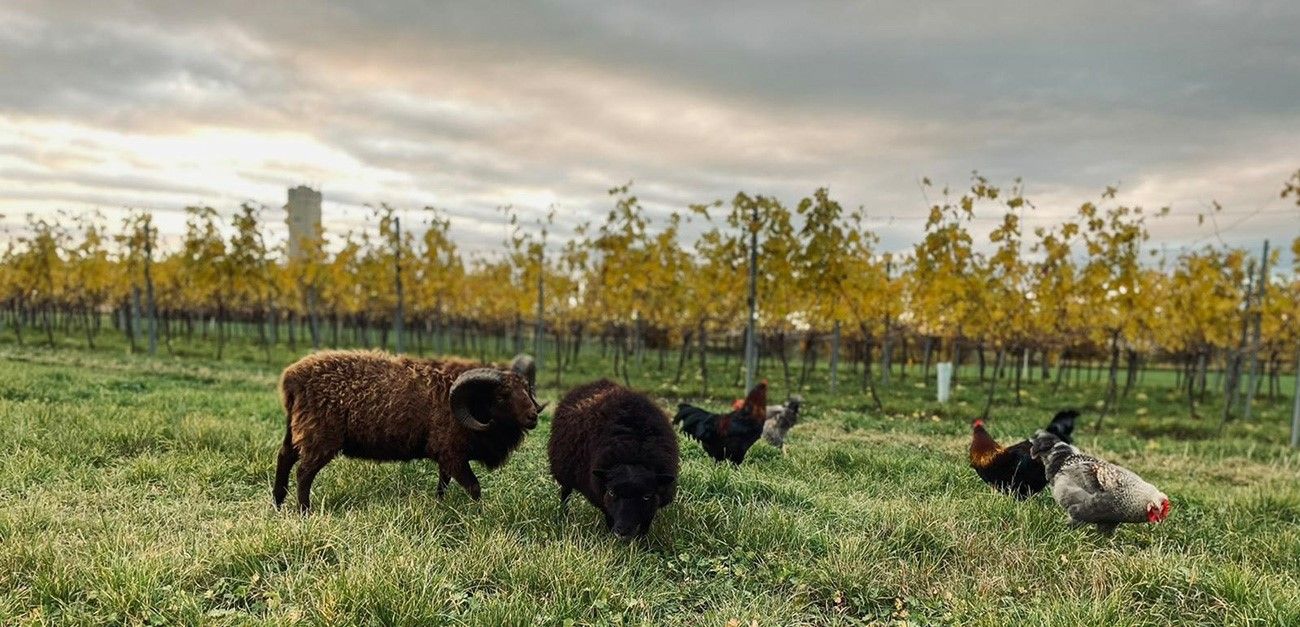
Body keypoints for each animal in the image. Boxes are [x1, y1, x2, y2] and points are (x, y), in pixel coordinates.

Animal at [273, 350, 544, 512]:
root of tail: (292, 377)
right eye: (501, 395)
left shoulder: (445, 456)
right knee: (303, 473)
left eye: (527, 387)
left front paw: (439, 505)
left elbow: (443, 483)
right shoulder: (453, 454)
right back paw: (304, 511)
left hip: (297, 430)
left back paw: (277, 502)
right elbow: (474, 488)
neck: (470, 404)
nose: (533, 416)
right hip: (320, 438)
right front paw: (480, 514)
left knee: (284, 457)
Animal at [548, 379, 679, 539]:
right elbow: (608, 514)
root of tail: (593, 383)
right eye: (611, 493)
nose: (622, 531)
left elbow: (646, 522)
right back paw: (564, 516)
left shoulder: (655, 501)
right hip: (564, 471)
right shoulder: (601, 494)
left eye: (647, 496)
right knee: (565, 494)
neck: (634, 452)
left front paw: (642, 542)